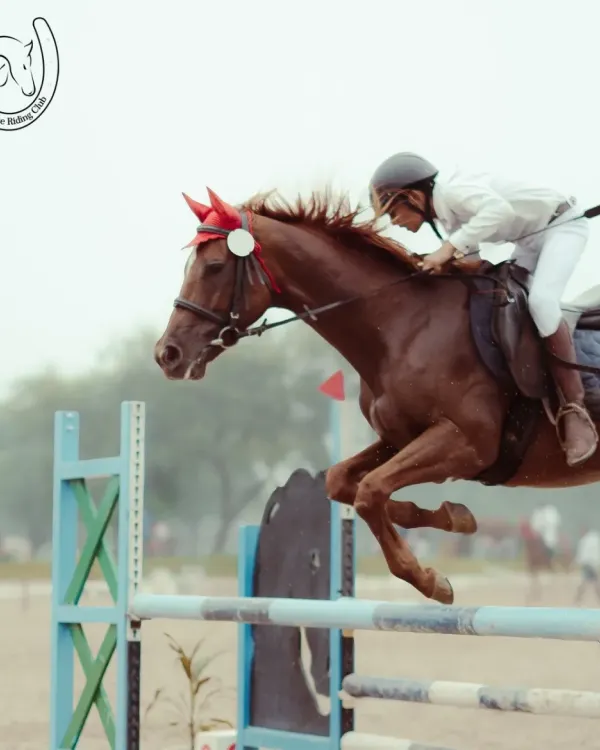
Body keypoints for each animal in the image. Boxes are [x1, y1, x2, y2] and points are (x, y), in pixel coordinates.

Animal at [154, 186, 600, 604]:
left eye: (214, 267)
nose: (167, 354)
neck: (402, 326)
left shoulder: (466, 441)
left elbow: (370, 491)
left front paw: (431, 580)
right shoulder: (398, 438)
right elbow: (345, 483)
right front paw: (454, 517)